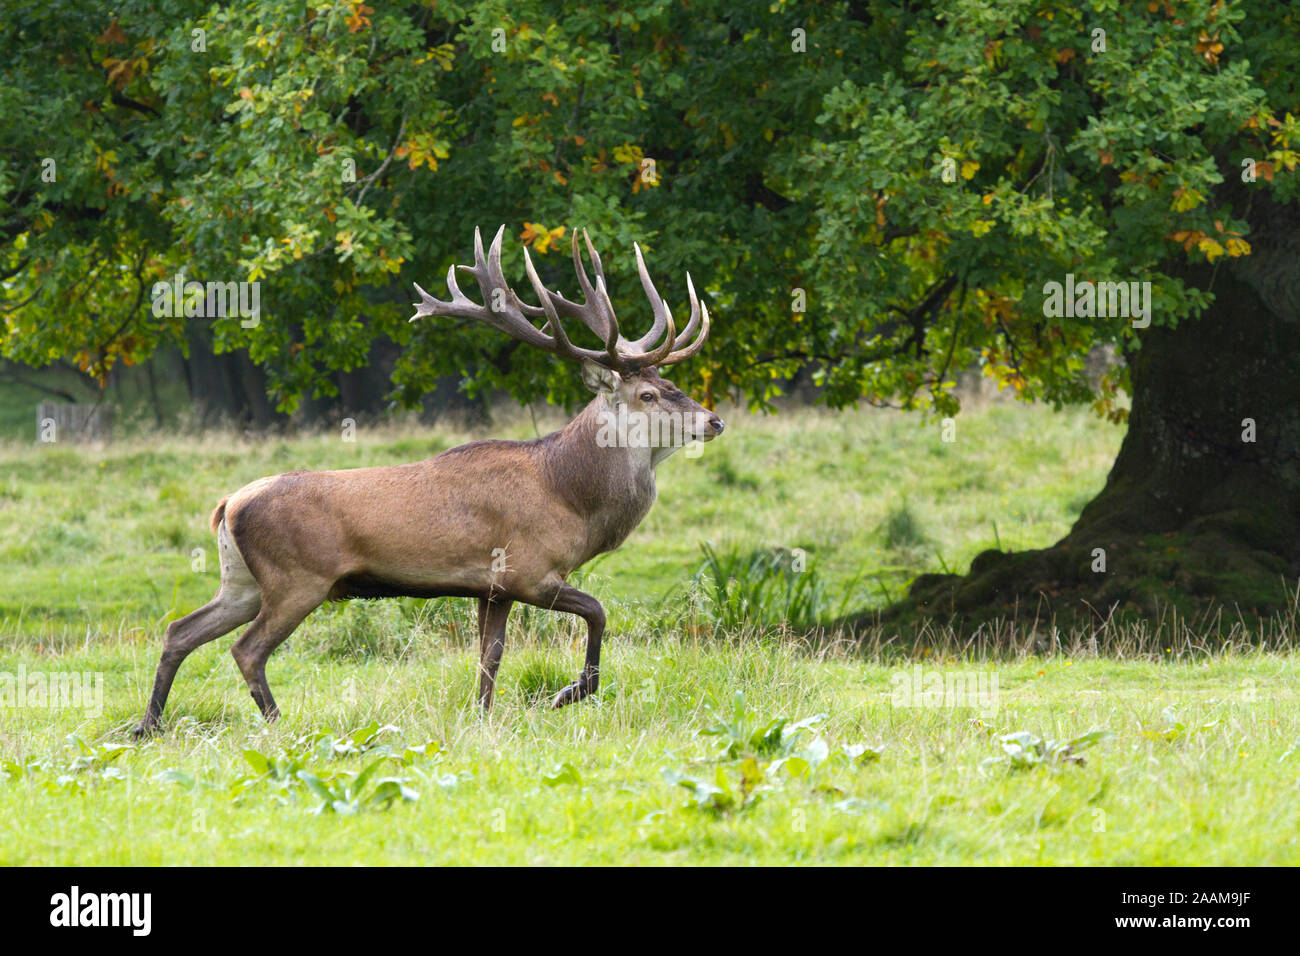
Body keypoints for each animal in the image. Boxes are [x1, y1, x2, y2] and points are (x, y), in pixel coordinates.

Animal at [135, 227, 728, 738]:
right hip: (297, 579)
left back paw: (148, 726)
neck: (570, 497)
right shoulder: (530, 570)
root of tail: (228, 504)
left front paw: (483, 719)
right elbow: (598, 612)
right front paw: (568, 693)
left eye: (673, 383)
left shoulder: (493, 587)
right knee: (246, 649)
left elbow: (490, 658)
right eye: (647, 395)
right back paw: (280, 725)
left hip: (240, 581)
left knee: (180, 630)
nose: (714, 420)